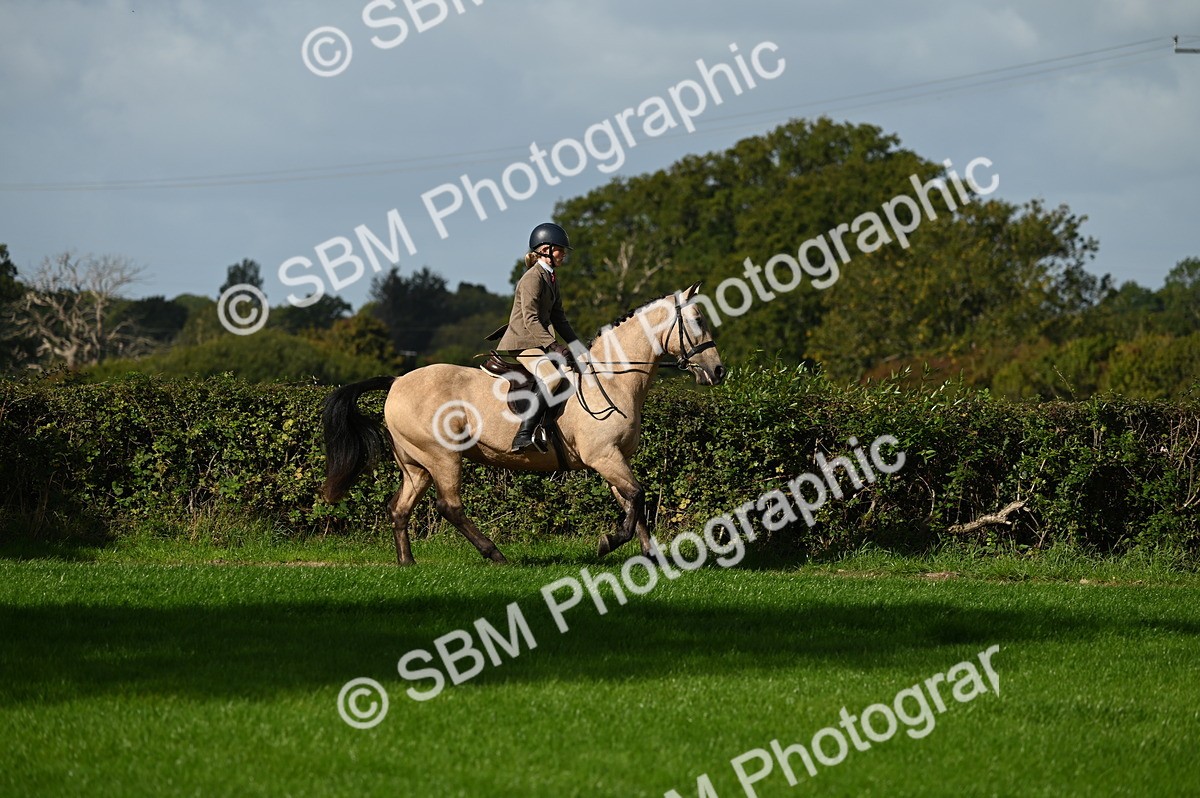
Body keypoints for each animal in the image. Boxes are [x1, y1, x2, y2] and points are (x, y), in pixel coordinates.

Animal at [320, 282, 725, 565]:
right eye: (698, 321)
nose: (718, 371)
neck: (612, 379)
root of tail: (397, 382)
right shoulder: (603, 456)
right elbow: (637, 498)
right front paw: (609, 542)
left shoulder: (614, 458)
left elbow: (634, 503)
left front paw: (650, 557)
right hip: (442, 457)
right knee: (449, 506)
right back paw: (495, 554)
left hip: (415, 464)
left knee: (399, 508)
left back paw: (407, 562)